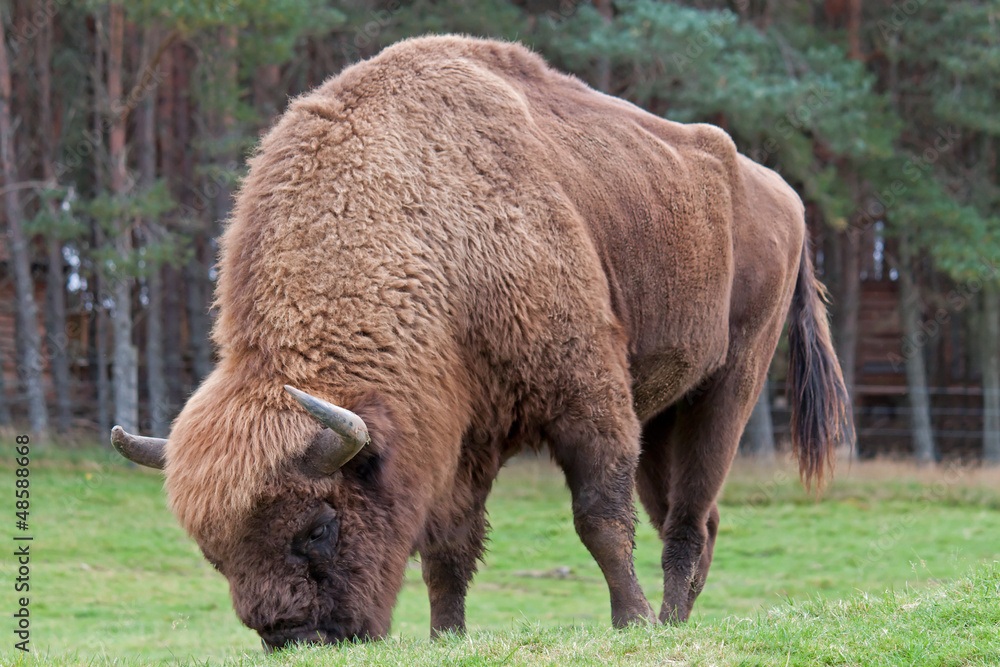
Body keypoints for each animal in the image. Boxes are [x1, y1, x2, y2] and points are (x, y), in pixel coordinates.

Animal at [111, 35, 853, 649]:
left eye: (318, 527)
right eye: (214, 551)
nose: (293, 635)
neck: (429, 225)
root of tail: (781, 192)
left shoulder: (587, 396)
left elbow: (598, 518)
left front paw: (630, 622)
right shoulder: (461, 434)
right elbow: (448, 546)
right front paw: (448, 636)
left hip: (728, 386)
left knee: (688, 518)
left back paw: (665, 622)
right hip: (662, 413)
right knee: (692, 514)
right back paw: (677, 620)